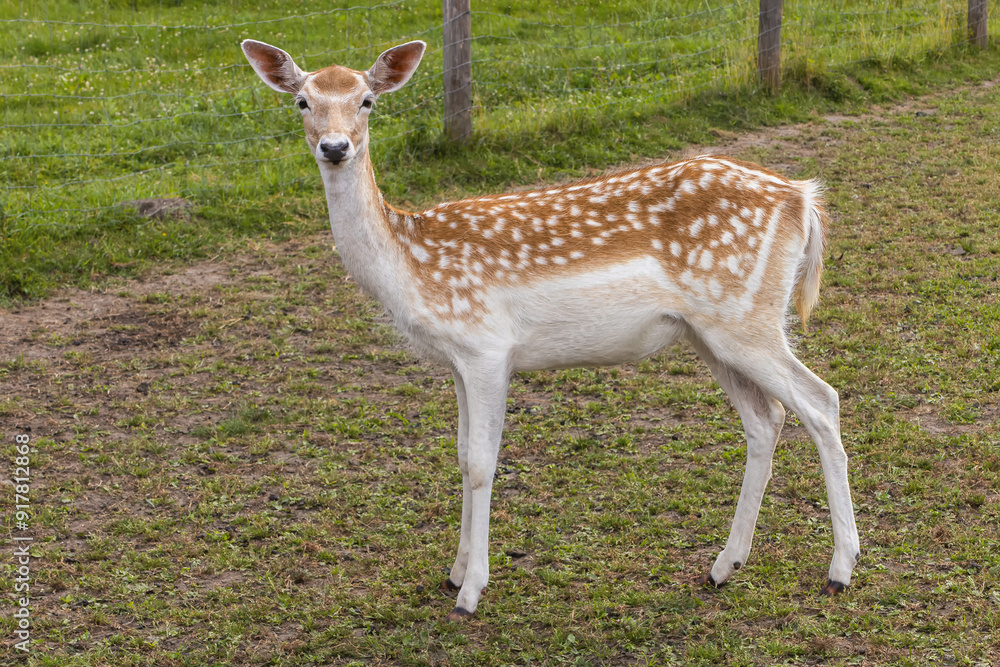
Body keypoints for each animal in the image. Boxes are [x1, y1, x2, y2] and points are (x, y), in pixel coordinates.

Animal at [241, 38, 861, 621]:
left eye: (366, 100)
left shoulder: (488, 348)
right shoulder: (458, 359)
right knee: (766, 419)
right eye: (302, 101)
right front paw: (453, 570)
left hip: (745, 319)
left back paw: (840, 570)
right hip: (709, 332)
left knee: (821, 400)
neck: (410, 267)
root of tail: (803, 200)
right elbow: (460, 454)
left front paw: (470, 593)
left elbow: (482, 463)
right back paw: (724, 566)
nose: (335, 147)